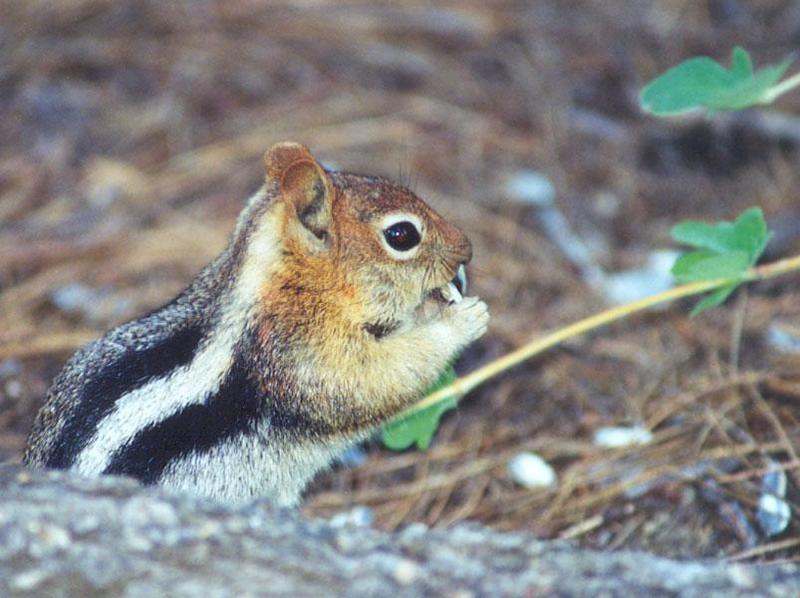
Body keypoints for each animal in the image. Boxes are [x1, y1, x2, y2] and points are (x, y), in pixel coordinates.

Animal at [23, 142, 488, 506]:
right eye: (402, 235)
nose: (467, 249)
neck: (284, 283)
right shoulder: (300, 353)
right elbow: (375, 379)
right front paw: (463, 319)